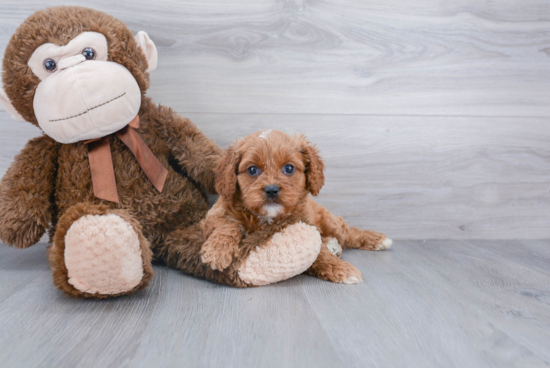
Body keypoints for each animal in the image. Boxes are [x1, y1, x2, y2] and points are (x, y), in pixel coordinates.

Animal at [199, 129, 392, 284]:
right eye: (252, 170)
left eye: (289, 168)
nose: (271, 189)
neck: (265, 217)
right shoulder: (211, 217)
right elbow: (228, 225)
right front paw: (218, 251)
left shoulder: (303, 223)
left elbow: (319, 252)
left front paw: (341, 269)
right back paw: (333, 245)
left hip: (329, 222)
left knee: (349, 232)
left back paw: (377, 240)